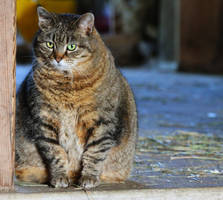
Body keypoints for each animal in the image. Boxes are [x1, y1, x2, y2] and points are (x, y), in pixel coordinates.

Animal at [14, 5, 137, 188]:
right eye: (49, 44)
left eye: (71, 47)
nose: (58, 58)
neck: (67, 84)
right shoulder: (44, 120)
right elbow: (55, 152)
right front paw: (59, 177)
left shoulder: (102, 123)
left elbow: (94, 153)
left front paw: (89, 178)